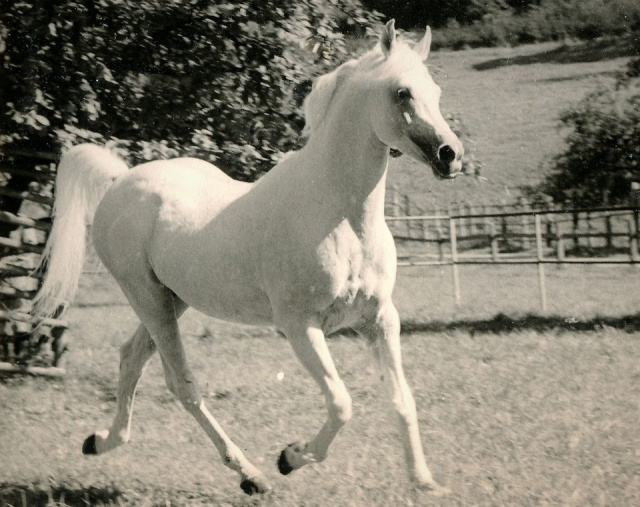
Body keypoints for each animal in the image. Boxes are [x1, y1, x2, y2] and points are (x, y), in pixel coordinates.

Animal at [35, 20, 462, 496]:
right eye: (401, 92)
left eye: (436, 91)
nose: (450, 155)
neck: (340, 216)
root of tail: (120, 181)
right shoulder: (300, 326)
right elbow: (341, 403)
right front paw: (289, 457)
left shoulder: (381, 320)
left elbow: (402, 400)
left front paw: (424, 481)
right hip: (148, 300)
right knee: (183, 385)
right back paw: (252, 475)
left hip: (170, 301)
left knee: (131, 359)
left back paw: (99, 441)